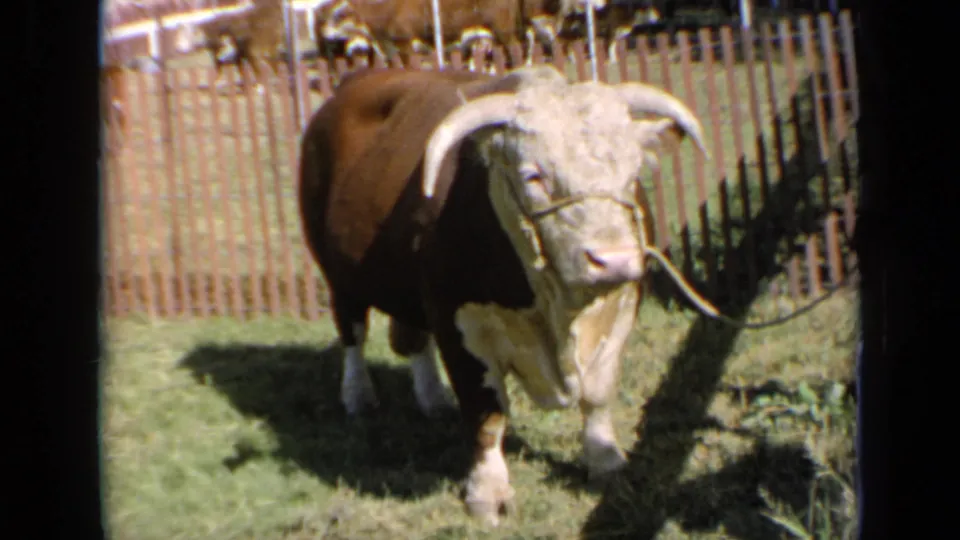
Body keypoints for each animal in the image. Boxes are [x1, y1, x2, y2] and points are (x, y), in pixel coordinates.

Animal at [297, 65, 707, 525]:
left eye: (634, 171)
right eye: (533, 176)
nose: (614, 260)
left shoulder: (621, 307)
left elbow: (599, 393)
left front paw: (606, 461)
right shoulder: (457, 323)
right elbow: (486, 414)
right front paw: (487, 492)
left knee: (412, 338)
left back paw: (432, 398)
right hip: (337, 275)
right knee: (353, 334)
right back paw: (358, 396)